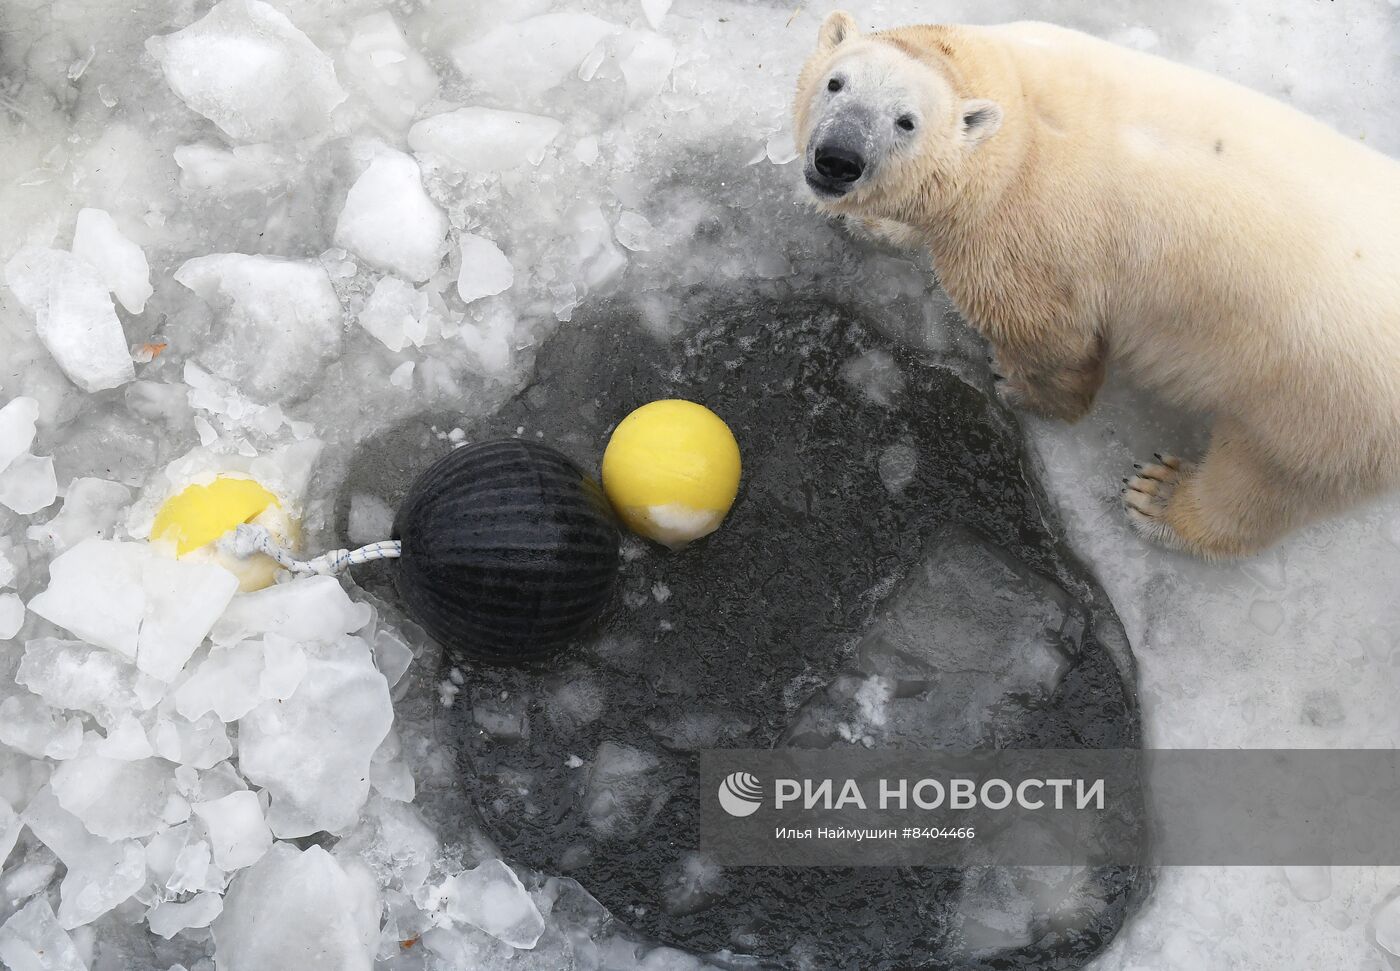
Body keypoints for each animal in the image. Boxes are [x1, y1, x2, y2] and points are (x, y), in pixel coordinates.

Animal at [795, 13, 1400, 562]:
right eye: (836, 83)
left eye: (907, 122)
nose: (839, 159)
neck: (1018, 105)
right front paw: (869, 222)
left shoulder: (1028, 230)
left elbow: (1048, 335)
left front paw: (1017, 384)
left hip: (1323, 398)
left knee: (1269, 476)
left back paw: (1163, 498)